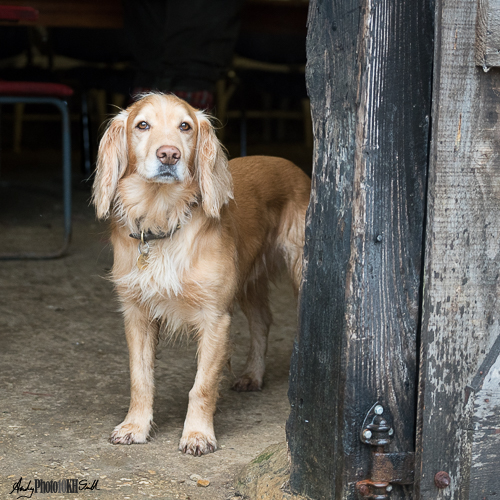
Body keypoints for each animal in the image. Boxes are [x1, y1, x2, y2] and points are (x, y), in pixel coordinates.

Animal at [90, 92, 308, 456]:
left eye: (185, 126)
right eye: (142, 125)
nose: (169, 154)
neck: (163, 217)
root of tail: (290, 164)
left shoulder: (214, 317)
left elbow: (202, 386)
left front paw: (197, 434)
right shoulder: (137, 314)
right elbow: (140, 379)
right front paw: (135, 426)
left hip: (298, 270)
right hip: (249, 281)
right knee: (262, 321)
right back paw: (253, 374)